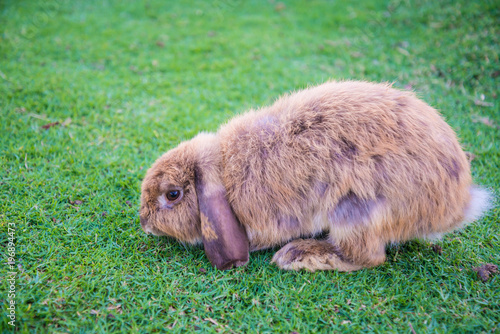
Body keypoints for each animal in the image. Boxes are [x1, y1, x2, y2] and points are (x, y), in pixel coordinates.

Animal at [139, 80, 490, 272]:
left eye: (172, 194)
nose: (144, 224)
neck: (225, 173)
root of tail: (455, 206)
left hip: (354, 209)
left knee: (367, 256)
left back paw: (296, 255)